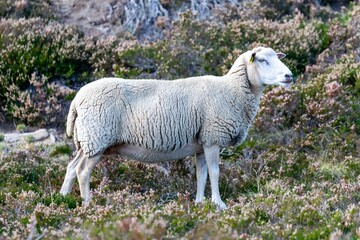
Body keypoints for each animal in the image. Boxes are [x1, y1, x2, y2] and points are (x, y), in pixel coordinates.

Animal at [60, 46, 294, 208]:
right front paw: (219, 204)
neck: (232, 89)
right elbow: (215, 172)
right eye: (262, 60)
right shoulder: (213, 138)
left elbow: (202, 174)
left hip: (88, 140)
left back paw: (62, 199)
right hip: (97, 138)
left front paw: (200, 202)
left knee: (71, 167)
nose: (289, 76)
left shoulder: (201, 143)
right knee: (82, 171)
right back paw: (88, 203)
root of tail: (77, 100)